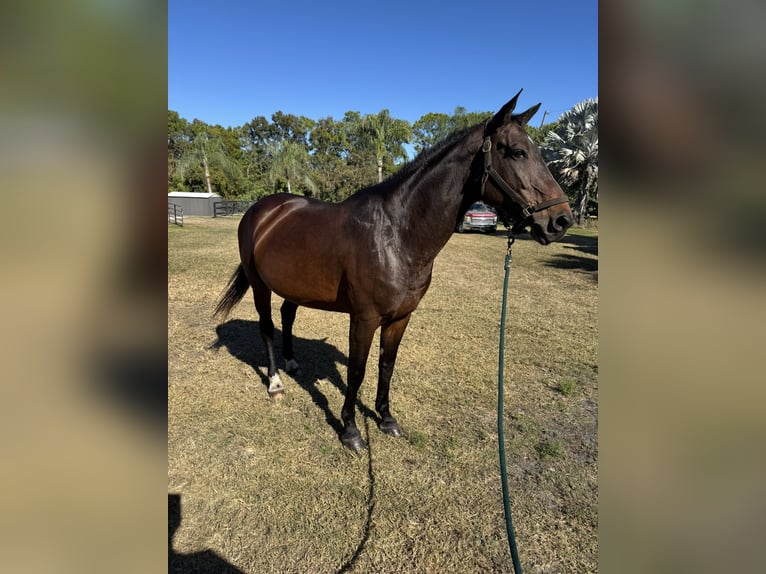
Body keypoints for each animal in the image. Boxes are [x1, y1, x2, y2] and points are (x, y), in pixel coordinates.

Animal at [214, 91, 573, 452]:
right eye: (517, 152)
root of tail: (263, 210)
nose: (560, 221)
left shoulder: (401, 317)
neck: (395, 233)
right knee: (267, 326)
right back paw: (275, 383)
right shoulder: (364, 318)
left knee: (287, 316)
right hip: (259, 285)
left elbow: (386, 365)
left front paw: (386, 419)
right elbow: (356, 372)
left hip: (295, 285)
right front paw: (351, 430)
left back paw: (291, 363)